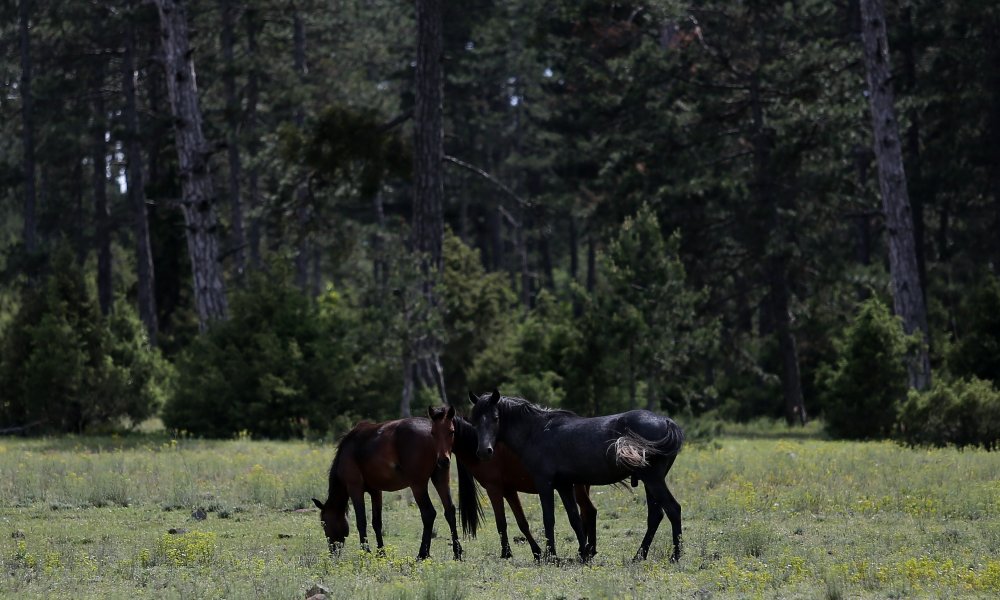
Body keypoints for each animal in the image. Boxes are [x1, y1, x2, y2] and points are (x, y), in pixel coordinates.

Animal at [312, 406, 468, 560]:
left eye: (324, 523)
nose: (332, 552)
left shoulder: (355, 488)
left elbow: (361, 521)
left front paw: (365, 552)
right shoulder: (376, 491)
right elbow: (376, 522)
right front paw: (381, 552)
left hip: (418, 485)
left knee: (429, 514)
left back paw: (422, 554)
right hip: (440, 478)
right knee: (450, 510)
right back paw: (457, 552)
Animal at [468, 390, 688, 564]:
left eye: (496, 417)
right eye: (474, 419)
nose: (484, 451)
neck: (536, 432)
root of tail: (667, 422)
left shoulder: (545, 483)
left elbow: (549, 519)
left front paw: (551, 555)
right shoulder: (564, 485)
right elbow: (575, 518)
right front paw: (584, 552)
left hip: (653, 480)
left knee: (672, 509)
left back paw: (675, 556)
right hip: (649, 483)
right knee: (655, 515)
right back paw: (639, 556)